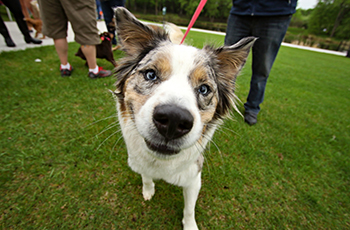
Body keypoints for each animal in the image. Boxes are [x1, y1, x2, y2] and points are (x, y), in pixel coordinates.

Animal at [113, 7, 256, 230]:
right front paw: (148, 190)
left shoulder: (194, 177)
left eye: (204, 89)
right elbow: (146, 176)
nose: (173, 120)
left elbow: (189, 209)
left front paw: (190, 225)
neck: (162, 163)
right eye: (151, 74)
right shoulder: (139, 161)